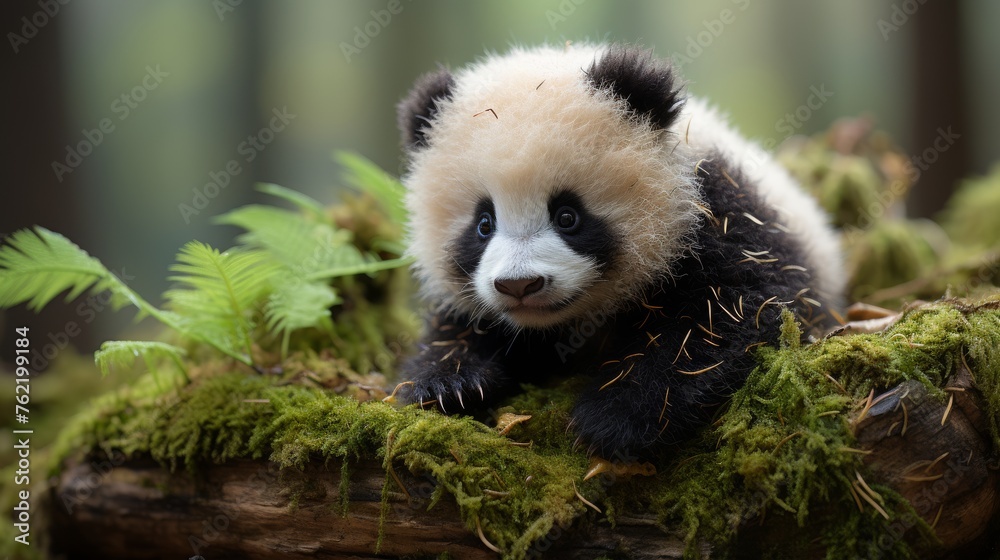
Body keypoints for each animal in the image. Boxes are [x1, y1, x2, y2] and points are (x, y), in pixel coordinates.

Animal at [394, 43, 844, 459]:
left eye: (568, 216)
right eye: (483, 224)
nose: (519, 285)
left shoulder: (723, 212)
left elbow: (729, 310)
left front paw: (616, 416)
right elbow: (456, 326)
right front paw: (447, 383)